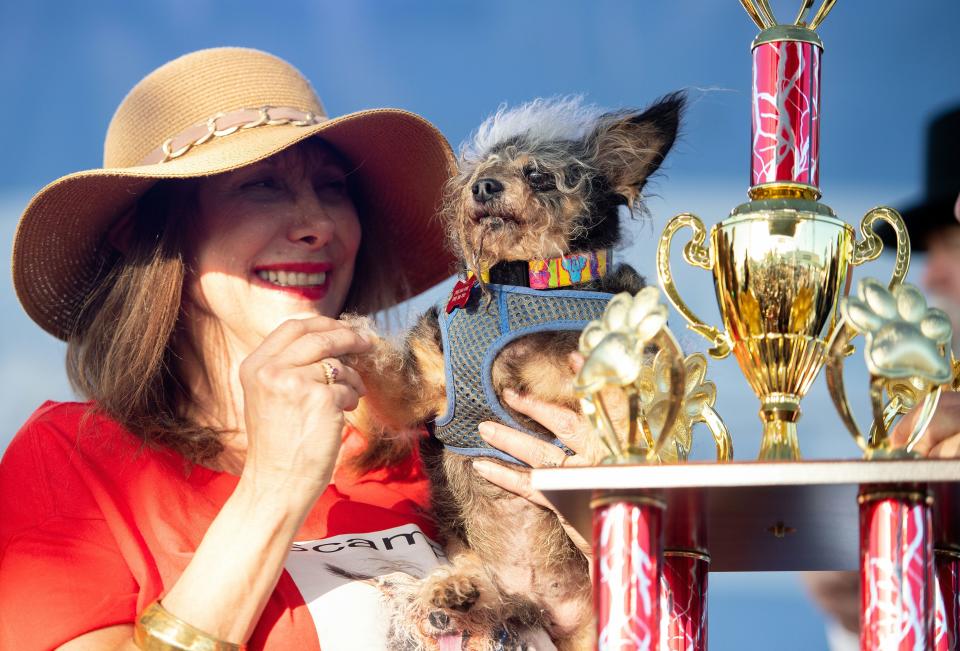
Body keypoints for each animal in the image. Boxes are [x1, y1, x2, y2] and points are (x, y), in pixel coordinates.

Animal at [352, 90, 684, 648]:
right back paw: (455, 590)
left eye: (539, 176)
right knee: (482, 592)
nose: (485, 187)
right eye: (481, 171)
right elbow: (381, 368)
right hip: (478, 565)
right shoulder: (420, 387)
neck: (520, 279)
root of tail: (546, 606)